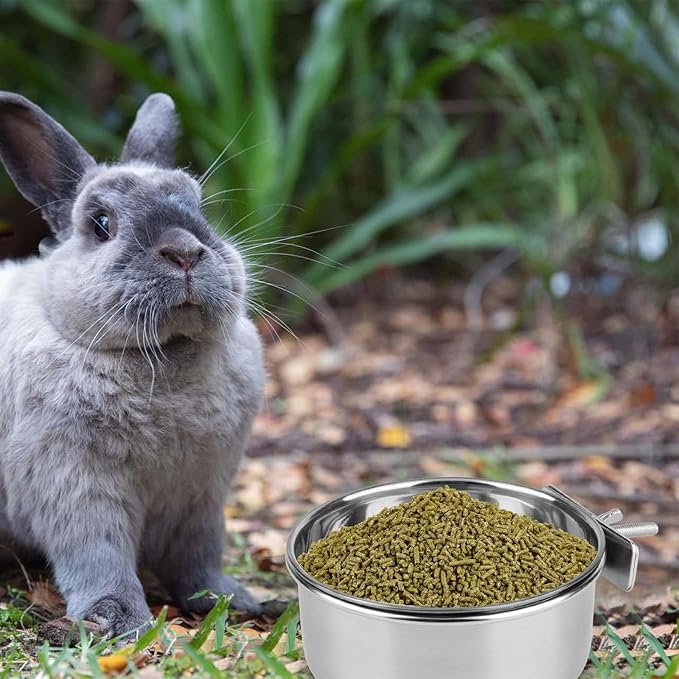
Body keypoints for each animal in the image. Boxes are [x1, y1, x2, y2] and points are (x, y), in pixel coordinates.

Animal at [0, 91, 265, 639]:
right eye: (101, 224)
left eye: (199, 207)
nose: (185, 252)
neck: (163, 360)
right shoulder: (77, 488)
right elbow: (99, 557)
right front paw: (118, 619)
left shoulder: (201, 497)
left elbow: (199, 557)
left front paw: (229, 599)